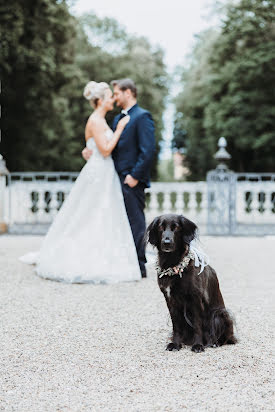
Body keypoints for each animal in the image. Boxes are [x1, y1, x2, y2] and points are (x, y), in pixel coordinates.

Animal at [147, 214, 237, 352]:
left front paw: (198, 345)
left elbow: (197, 324)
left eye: (176, 227)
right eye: (161, 227)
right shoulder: (170, 300)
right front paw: (175, 344)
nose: (166, 243)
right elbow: (176, 326)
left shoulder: (195, 299)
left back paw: (213, 342)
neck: (172, 263)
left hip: (220, 314)